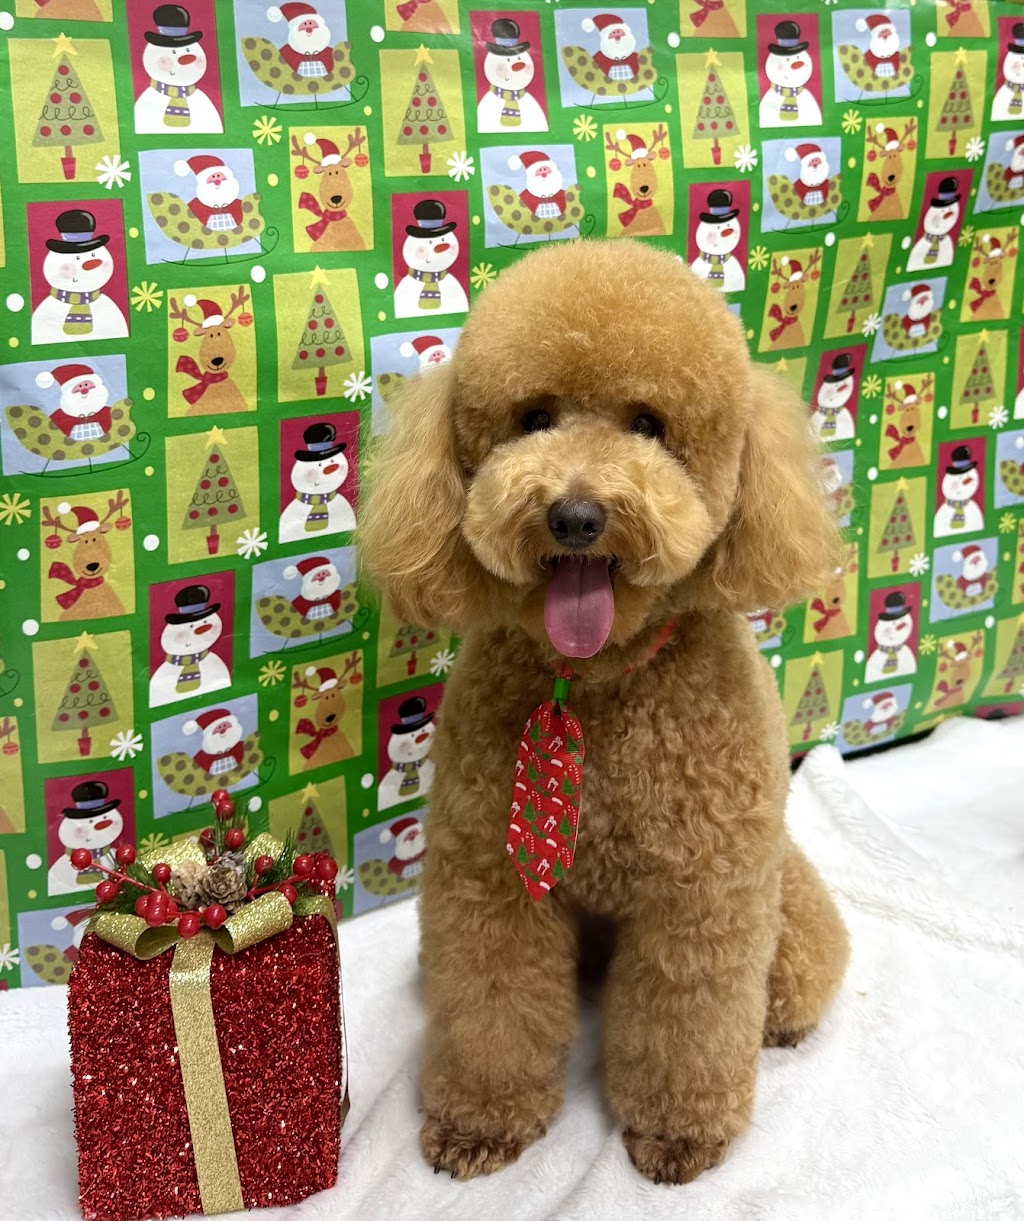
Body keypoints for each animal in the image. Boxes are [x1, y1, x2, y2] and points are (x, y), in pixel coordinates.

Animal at [361, 240, 849, 1186]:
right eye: (534, 417)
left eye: (649, 425)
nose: (577, 515)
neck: (595, 683)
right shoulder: (491, 875)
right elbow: (495, 1003)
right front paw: (482, 1118)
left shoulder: (704, 891)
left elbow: (686, 1021)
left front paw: (680, 1131)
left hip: (784, 891)